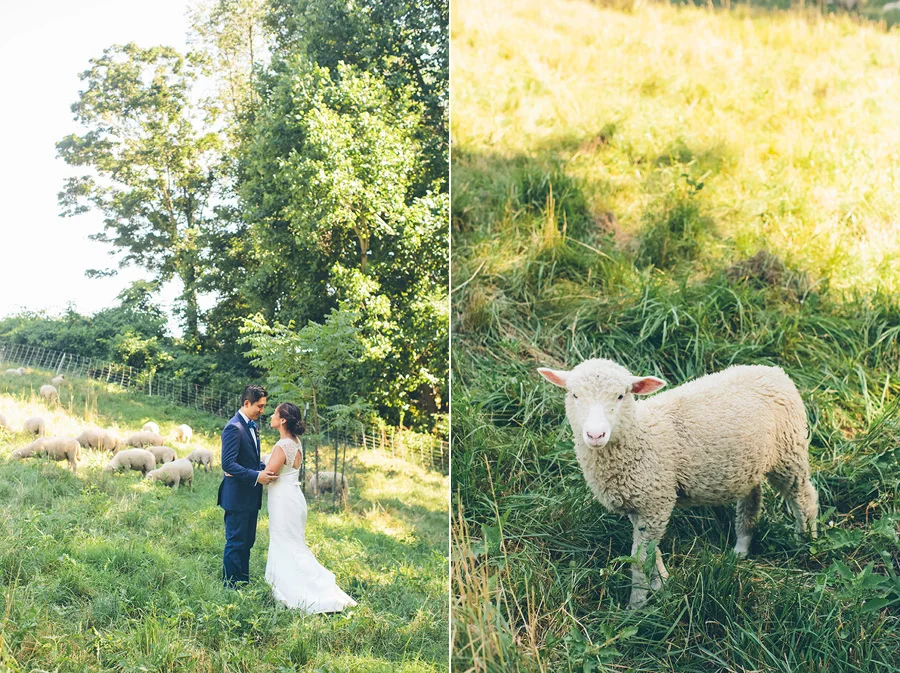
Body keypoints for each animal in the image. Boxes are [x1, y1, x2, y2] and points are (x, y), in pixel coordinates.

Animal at [536, 360, 820, 608]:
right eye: (574, 394)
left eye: (620, 396)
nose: (595, 434)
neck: (639, 435)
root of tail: (772, 370)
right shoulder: (641, 505)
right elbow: (652, 553)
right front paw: (662, 585)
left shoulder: (656, 501)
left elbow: (639, 560)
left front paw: (636, 606)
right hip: (747, 464)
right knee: (751, 499)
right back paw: (741, 548)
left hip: (789, 452)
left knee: (804, 498)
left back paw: (806, 543)